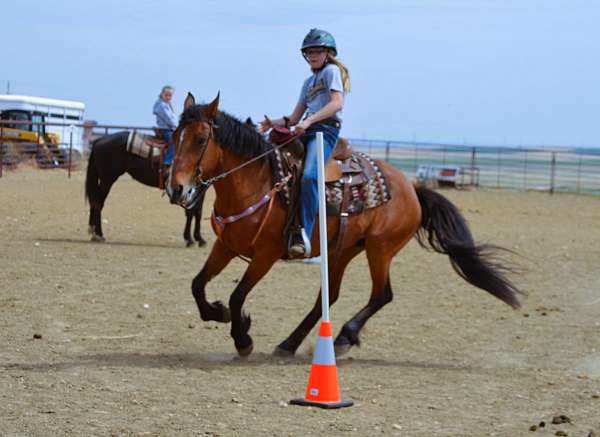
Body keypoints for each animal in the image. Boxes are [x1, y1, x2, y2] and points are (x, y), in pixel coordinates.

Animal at [165, 93, 520, 356]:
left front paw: (243, 338)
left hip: (380, 249)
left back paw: (344, 337)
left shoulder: (266, 254)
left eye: (200, 139)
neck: (258, 180)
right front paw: (218, 312)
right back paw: (290, 343)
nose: (177, 188)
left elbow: (238, 295)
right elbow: (197, 284)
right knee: (329, 296)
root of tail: (411, 189)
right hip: (342, 251)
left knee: (382, 295)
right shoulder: (225, 245)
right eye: (174, 136)